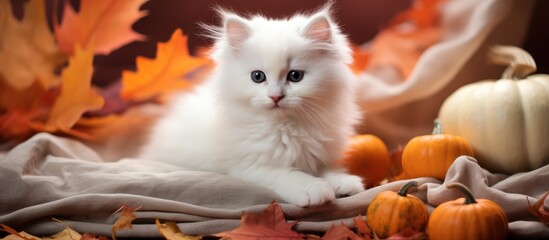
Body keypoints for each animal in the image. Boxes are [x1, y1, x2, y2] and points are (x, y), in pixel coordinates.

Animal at [140, 6, 364, 207]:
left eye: (295, 76)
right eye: (258, 76)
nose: (275, 96)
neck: (286, 127)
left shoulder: (319, 153)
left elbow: (328, 169)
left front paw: (344, 182)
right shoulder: (250, 166)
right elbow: (289, 175)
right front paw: (314, 189)